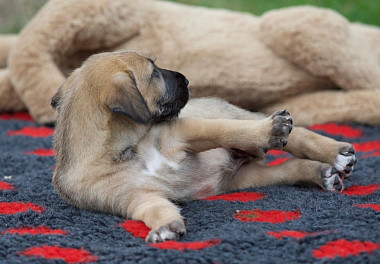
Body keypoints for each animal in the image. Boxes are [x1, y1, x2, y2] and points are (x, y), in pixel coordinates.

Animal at [53, 50, 356, 242]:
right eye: (154, 73)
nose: (187, 79)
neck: (128, 150)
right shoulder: (135, 197)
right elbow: (154, 208)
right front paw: (165, 226)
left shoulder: (185, 132)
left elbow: (225, 130)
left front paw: (267, 131)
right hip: (246, 178)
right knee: (288, 167)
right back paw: (323, 174)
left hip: (242, 119)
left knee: (299, 135)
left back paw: (335, 153)